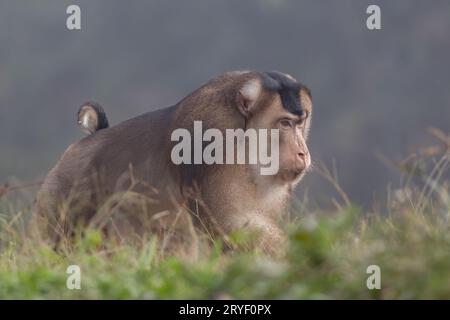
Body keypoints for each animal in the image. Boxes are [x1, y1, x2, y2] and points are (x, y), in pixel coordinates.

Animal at [34, 71, 312, 254]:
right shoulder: (214, 140)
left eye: (301, 122)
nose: (303, 153)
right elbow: (229, 221)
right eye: (285, 123)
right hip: (61, 196)